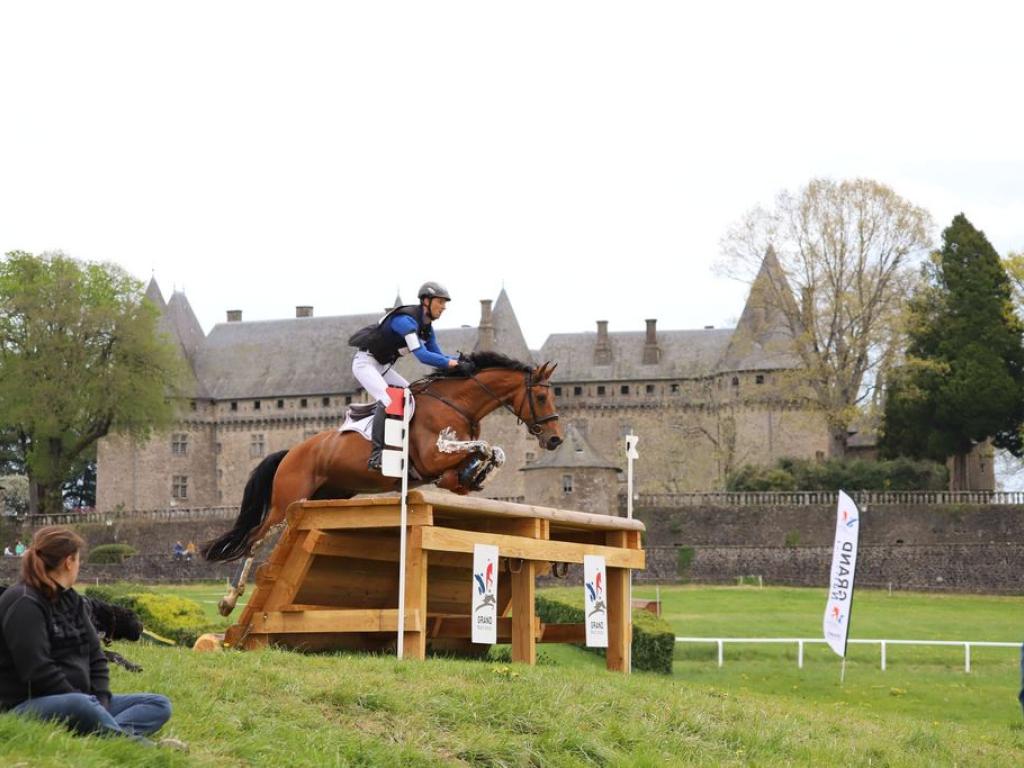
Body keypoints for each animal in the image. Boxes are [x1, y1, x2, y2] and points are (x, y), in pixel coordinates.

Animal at [200, 352, 565, 618]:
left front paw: (473, 476)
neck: (458, 404)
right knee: (253, 541)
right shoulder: (433, 456)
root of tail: (292, 450)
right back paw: (229, 601)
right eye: (542, 396)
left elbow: (495, 452)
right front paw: (474, 470)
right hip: (285, 503)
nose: (555, 440)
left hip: (328, 496)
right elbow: (483, 447)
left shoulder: (445, 465)